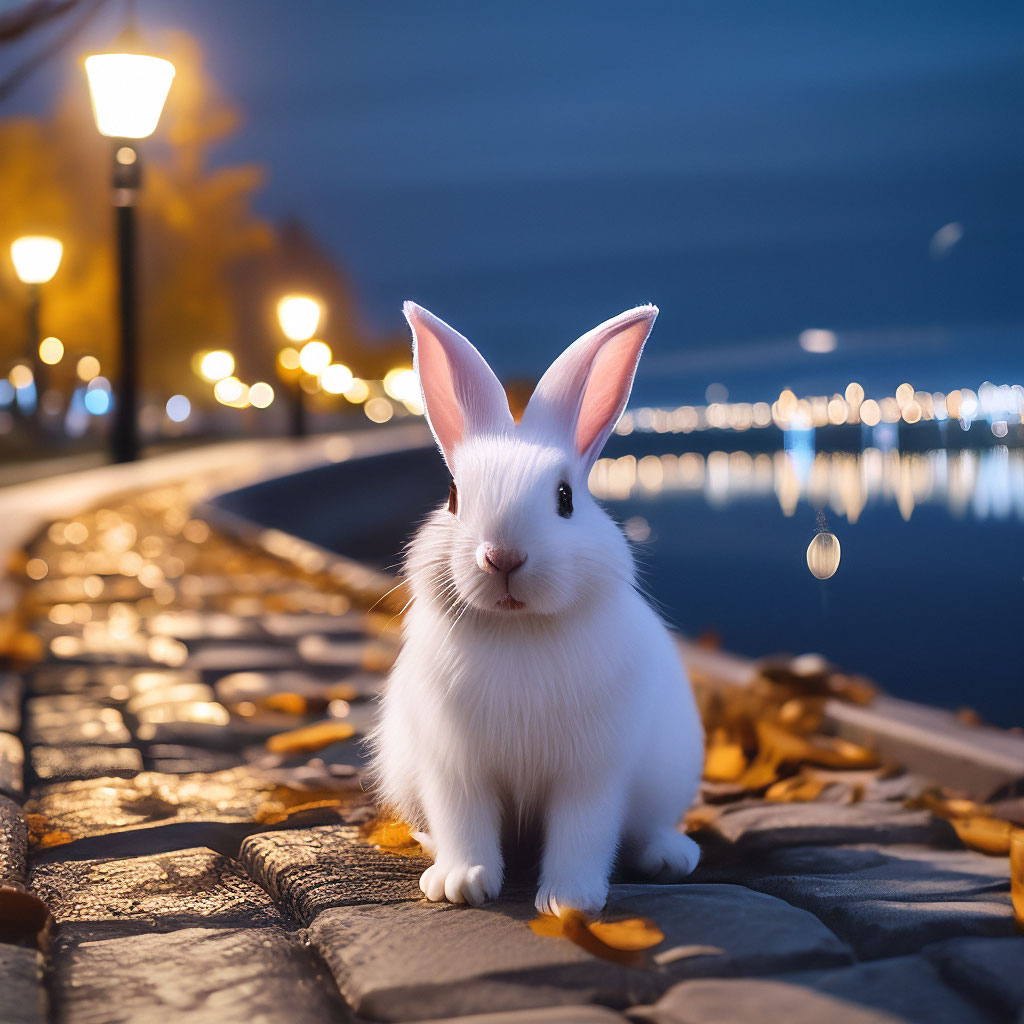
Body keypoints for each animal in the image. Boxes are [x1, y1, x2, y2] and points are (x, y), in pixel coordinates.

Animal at [368, 299, 704, 917]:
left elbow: (583, 833)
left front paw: (568, 902)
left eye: (566, 499)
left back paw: (673, 857)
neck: (518, 628)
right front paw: (462, 884)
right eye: (453, 497)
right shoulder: (455, 770)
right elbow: (465, 825)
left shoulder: (590, 775)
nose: (502, 557)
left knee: (647, 829)